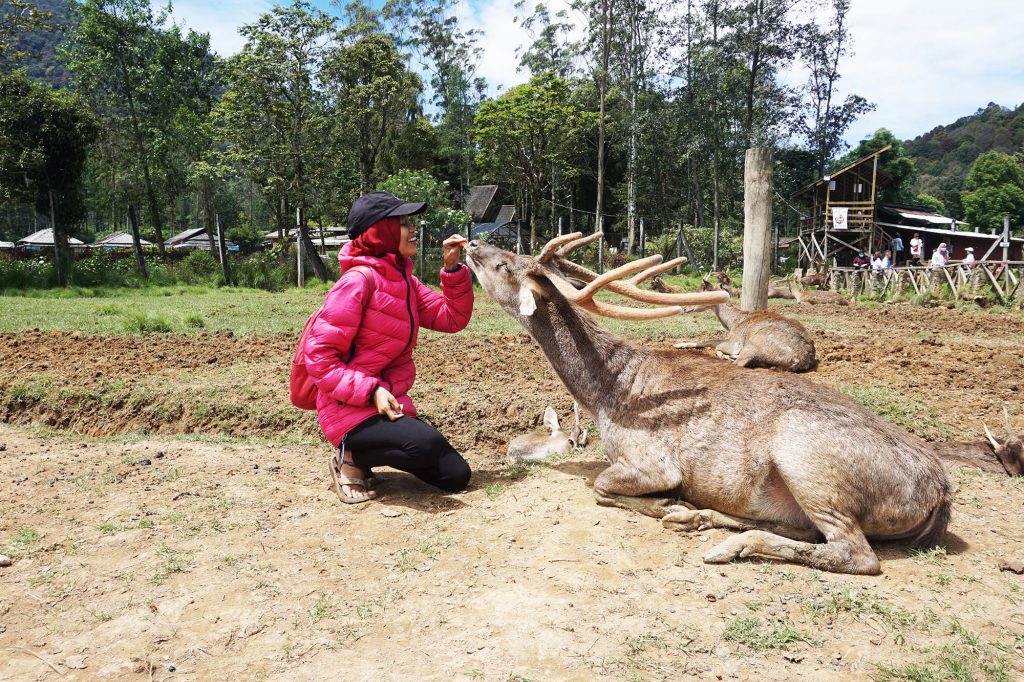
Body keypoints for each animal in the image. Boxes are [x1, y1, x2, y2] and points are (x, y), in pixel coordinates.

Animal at [464, 233, 1015, 573]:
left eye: (504, 265)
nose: (471, 242)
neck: (607, 394)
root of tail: (941, 493)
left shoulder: (651, 460)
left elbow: (600, 486)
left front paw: (665, 503)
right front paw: (678, 509)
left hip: (807, 456)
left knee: (855, 554)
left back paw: (724, 542)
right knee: (805, 531)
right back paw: (703, 519)